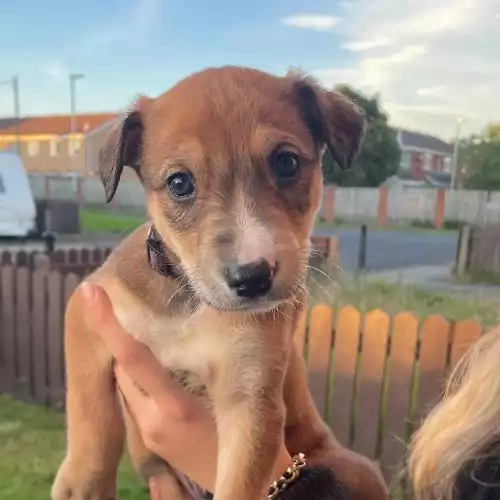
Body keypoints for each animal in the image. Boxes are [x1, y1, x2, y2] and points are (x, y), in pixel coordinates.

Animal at [50, 66, 388, 500]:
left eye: (287, 163)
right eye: (179, 183)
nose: (252, 277)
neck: (192, 303)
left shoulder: (250, 403)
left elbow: (239, 486)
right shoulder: (89, 306)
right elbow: (89, 408)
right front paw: (84, 482)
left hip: (354, 468)